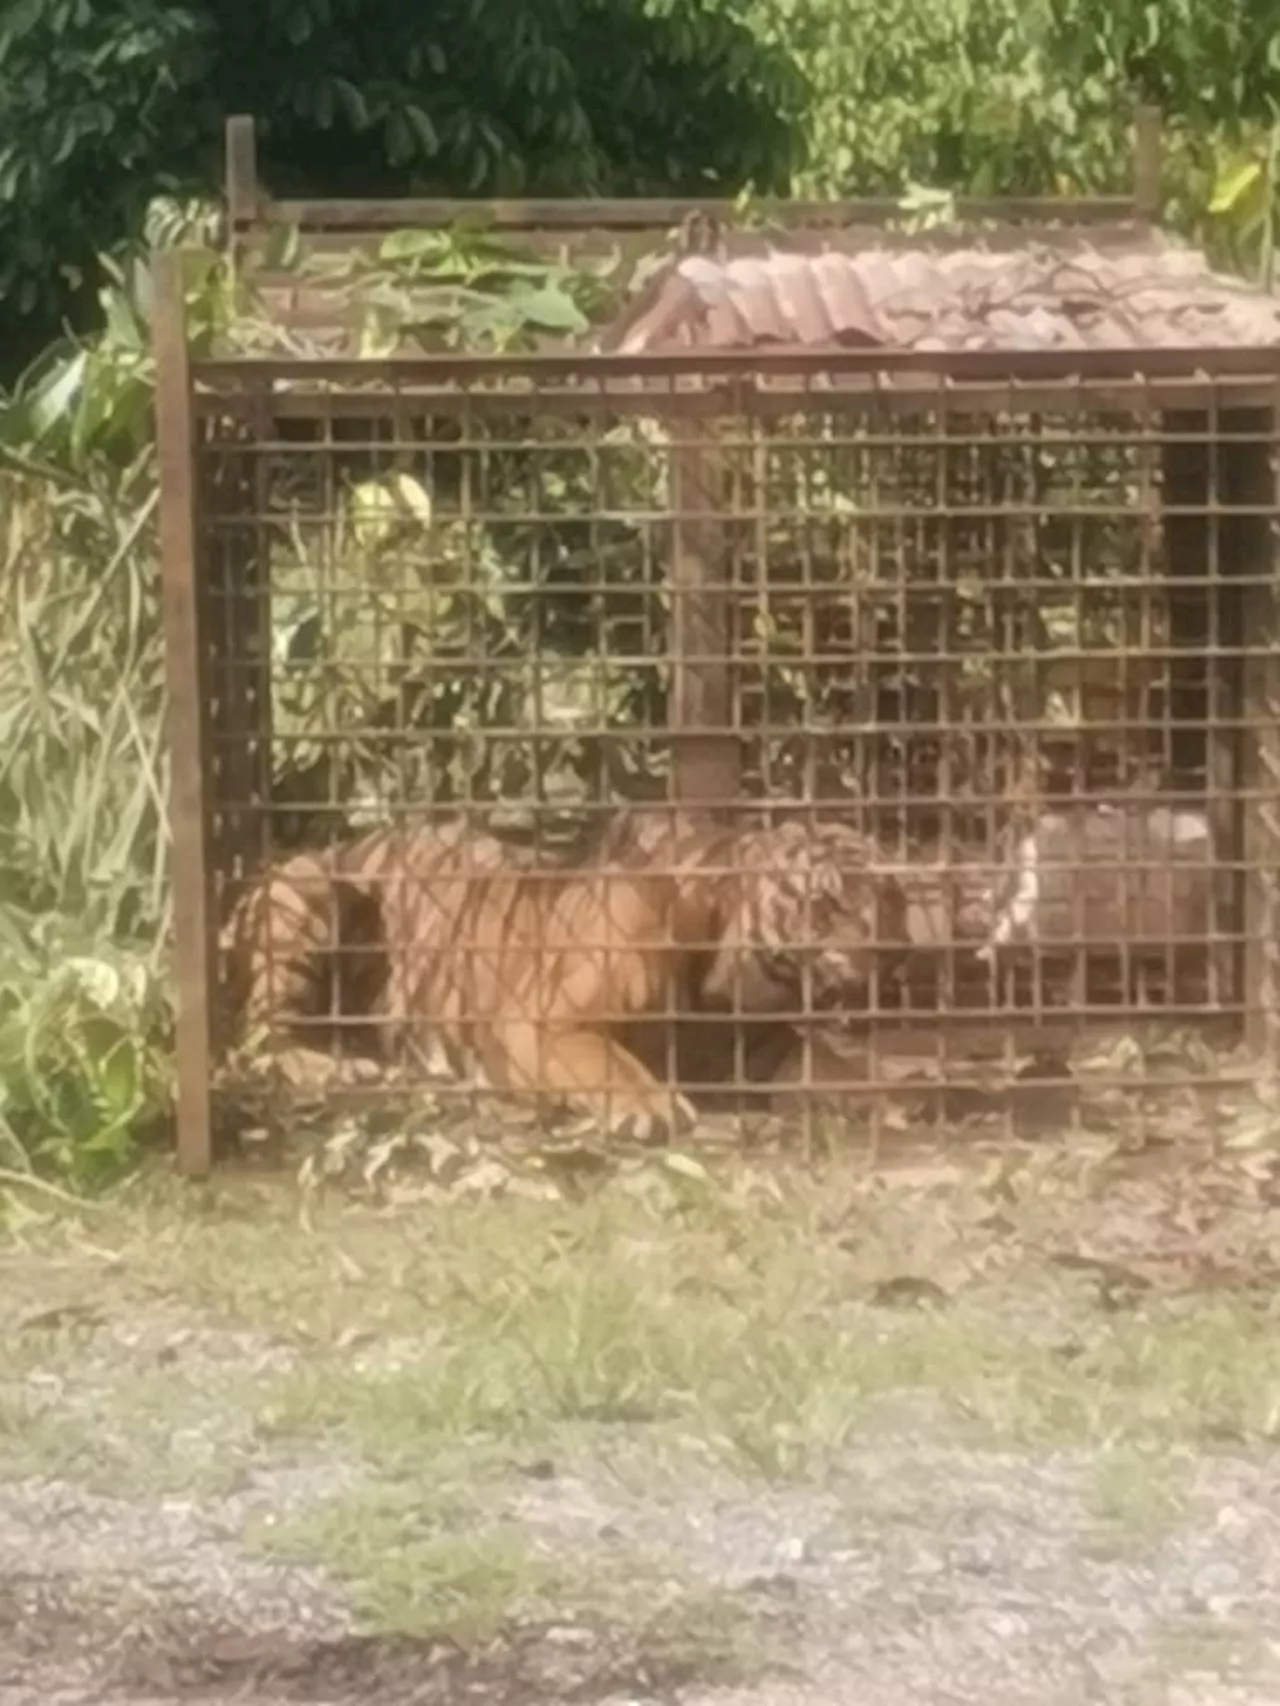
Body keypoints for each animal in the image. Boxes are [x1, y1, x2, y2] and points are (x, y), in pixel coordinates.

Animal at [220, 812, 907, 1146]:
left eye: (891, 900)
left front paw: (886, 1097)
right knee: (258, 1039)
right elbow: (610, 1062)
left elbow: (830, 1064)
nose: (894, 953)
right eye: (830, 904)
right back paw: (346, 1068)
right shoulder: (546, 1022)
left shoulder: (767, 1048)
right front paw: (650, 1108)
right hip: (311, 889)